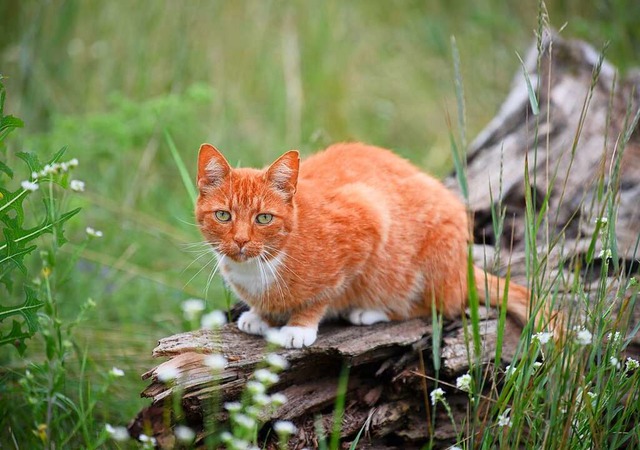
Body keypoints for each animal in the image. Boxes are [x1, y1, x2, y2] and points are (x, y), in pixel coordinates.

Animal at [196, 142, 536, 348]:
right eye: (223, 215)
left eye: (264, 218)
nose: (241, 240)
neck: (261, 266)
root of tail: (461, 267)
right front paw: (261, 315)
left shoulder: (368, 216)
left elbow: (325, 294)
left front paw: (299, 326)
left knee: (437, 306)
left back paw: (372, 311)